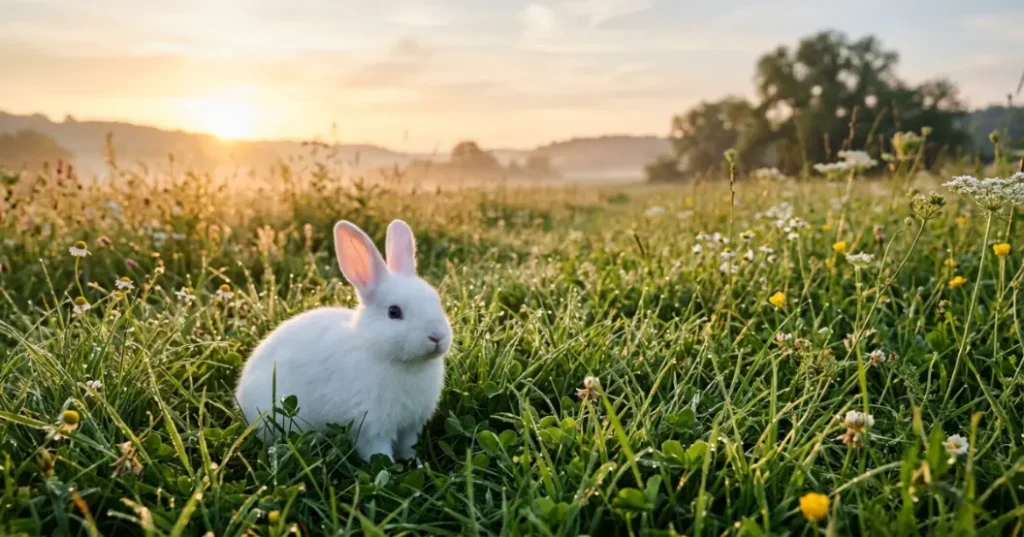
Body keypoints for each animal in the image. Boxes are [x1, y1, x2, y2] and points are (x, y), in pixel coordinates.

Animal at [235, 219, 451, 461]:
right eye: (394, 312)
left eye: (436, 300)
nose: (437, 336)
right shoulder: (371, 427)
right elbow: (379, 453)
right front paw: (387, 469)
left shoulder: (410, 427)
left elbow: (408, 447)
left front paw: (417, 463)